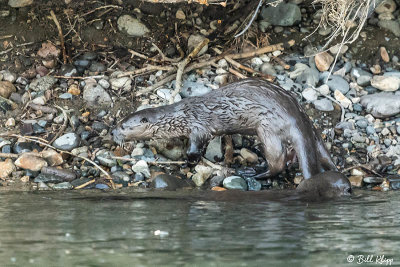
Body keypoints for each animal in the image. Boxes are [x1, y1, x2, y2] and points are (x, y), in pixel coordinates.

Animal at [111, 79, 350, 195]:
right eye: (118, 122)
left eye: (123, 126)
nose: (112, 132)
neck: (180, 116)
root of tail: (296, 116)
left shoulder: (198, 126)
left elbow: (196, 146)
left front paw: (189, 160)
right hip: (311, 129)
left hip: (268, 130)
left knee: (278, 164)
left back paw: (253, 172)